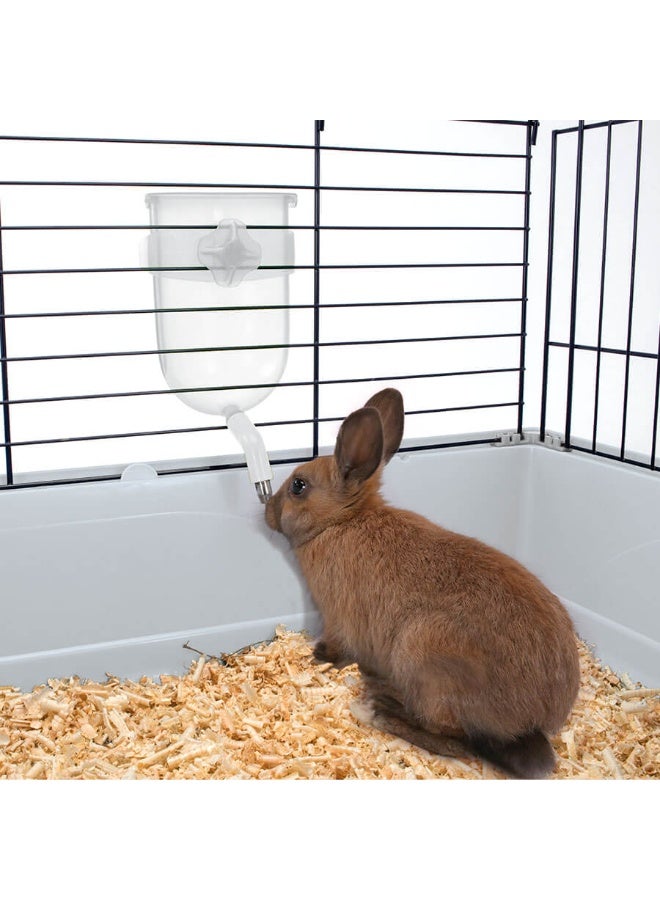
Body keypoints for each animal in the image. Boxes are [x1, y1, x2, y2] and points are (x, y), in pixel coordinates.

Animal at [265, 388, 580, 778]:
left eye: (298, 486)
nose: (266, 510)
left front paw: (318, 657)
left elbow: (337, 648)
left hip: (423, 655)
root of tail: (537, 717)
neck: (342, 521)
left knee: (453, 739)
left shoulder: (338, 618)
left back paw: (377, 707)